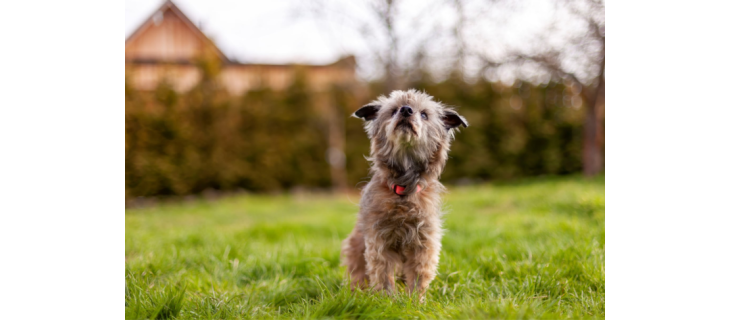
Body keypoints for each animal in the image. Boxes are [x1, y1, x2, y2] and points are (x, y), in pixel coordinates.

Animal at [340, 89, 466, 300]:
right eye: (393, 111)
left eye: (424, 114)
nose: (406, 110)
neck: (404, 189)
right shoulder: (378, 240)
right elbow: (382, 272)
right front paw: (387, 299)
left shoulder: (424, 241)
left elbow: (419, 273)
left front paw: (414, 301)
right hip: (356, 247)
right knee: (358, 274)